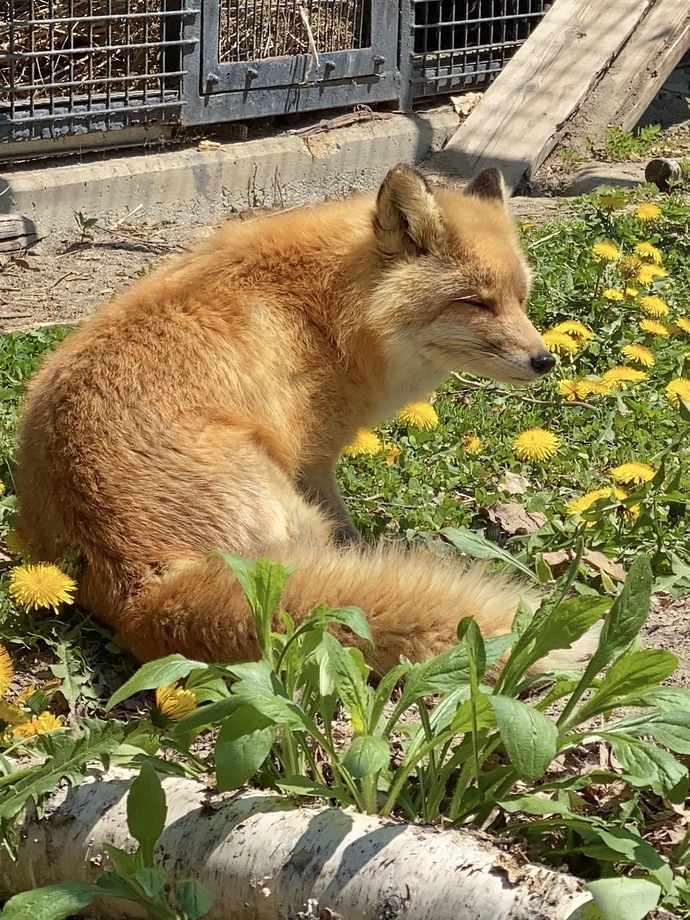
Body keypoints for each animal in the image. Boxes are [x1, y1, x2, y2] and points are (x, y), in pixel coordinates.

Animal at [16, 167, 580, 676]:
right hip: (292, 510)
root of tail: (137, 592)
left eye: (520, 299)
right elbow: (350, 534)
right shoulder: (313, 463)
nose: (544, 360)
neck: (327, 311)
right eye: (475, 302)